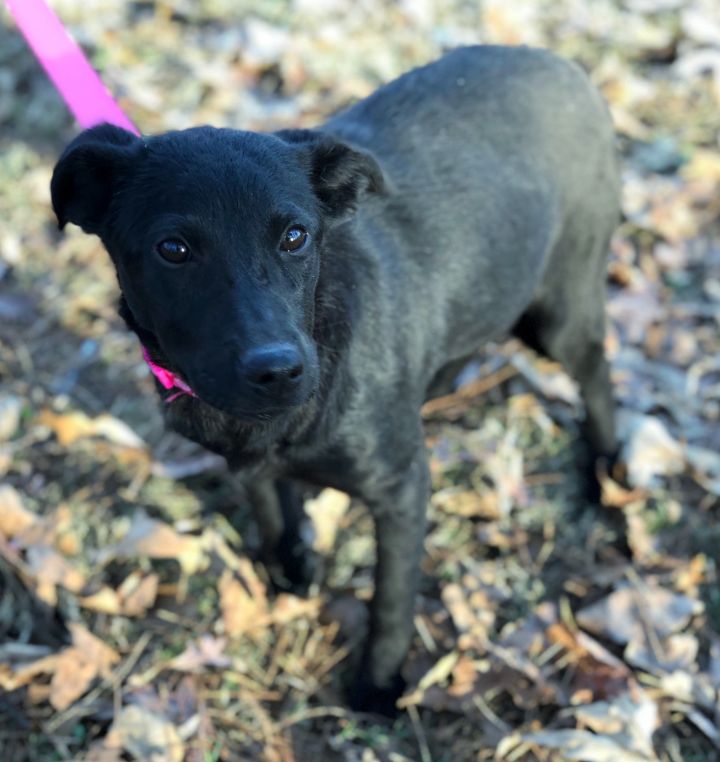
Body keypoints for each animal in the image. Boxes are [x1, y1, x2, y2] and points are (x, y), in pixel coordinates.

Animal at [50, 46, 620, 712]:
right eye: (173, 249)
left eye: (296, 236)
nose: (277, 370)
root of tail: (558, 61)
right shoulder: (248, 458)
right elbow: (272, 509)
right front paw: (290, 572)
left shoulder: (402, 488)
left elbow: (391, 598)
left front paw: (377, 684)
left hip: (557, 315)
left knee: (598, 372)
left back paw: (607, 469)